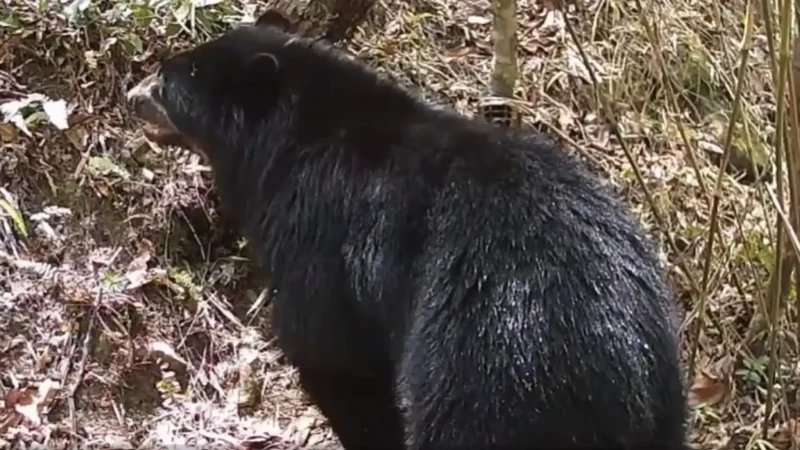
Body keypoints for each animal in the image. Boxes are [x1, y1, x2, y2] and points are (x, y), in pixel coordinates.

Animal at [126, 9, 689, 450]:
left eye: (167, 83)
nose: (131, 95)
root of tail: (619, 359)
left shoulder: (317, 242)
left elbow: (333, 360)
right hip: (665, 390)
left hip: (494, 368)